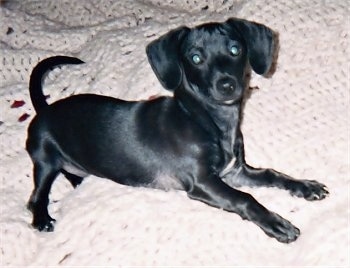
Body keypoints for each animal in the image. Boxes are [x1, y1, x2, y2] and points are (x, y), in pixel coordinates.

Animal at [26, 17, 328, 243]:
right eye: (195, 58)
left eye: (235, 49)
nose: (226, 85)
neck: (206, 119)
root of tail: (45, 109)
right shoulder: (203, 182)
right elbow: (245, 199)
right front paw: (277, 223)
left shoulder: (237, 172)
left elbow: (272, 173)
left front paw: (305, 186)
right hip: (44, 158)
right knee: (36, 195)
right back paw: (42, 218)